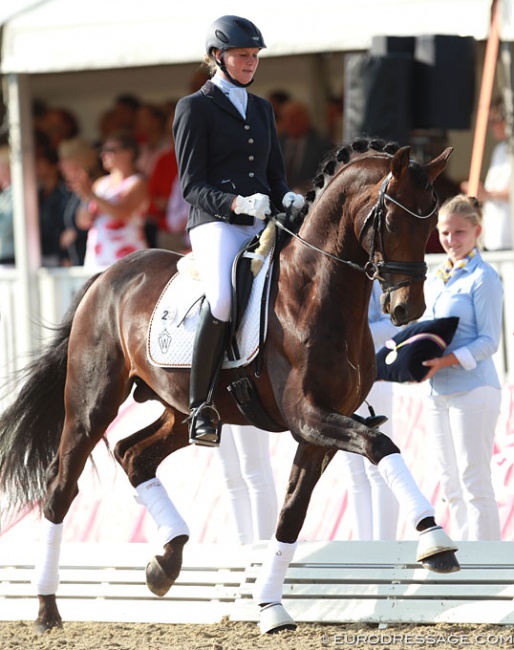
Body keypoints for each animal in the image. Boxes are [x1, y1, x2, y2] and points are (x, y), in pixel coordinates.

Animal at [0, 139, 456, 632]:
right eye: (391, 221)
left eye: (430, 224)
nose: (407, 308)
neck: (316, 293)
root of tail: (108, 276)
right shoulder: (308, 417)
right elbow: (380, 444)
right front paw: (435, 540)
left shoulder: (318, 430)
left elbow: (291, 513)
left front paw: (270, 606)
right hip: (90, 407)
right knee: (61, 488)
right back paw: (47, 608)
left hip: (183, 411)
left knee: (133, 454)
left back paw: (166, 562)